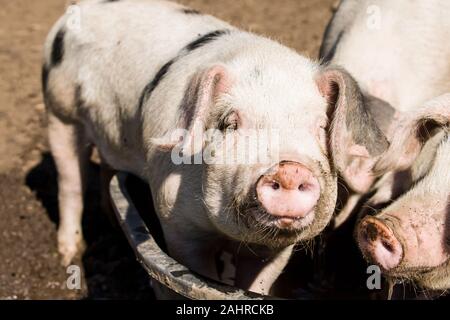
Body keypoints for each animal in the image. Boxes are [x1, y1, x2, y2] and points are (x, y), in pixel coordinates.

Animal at [43, 0, 390, 296]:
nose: (290, 170)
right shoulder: (178, 225)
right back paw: (68, 253)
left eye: (320, 126)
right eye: (229, 122)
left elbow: (257, 284)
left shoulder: (276, 252)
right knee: (70, 181)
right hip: (59, 111)